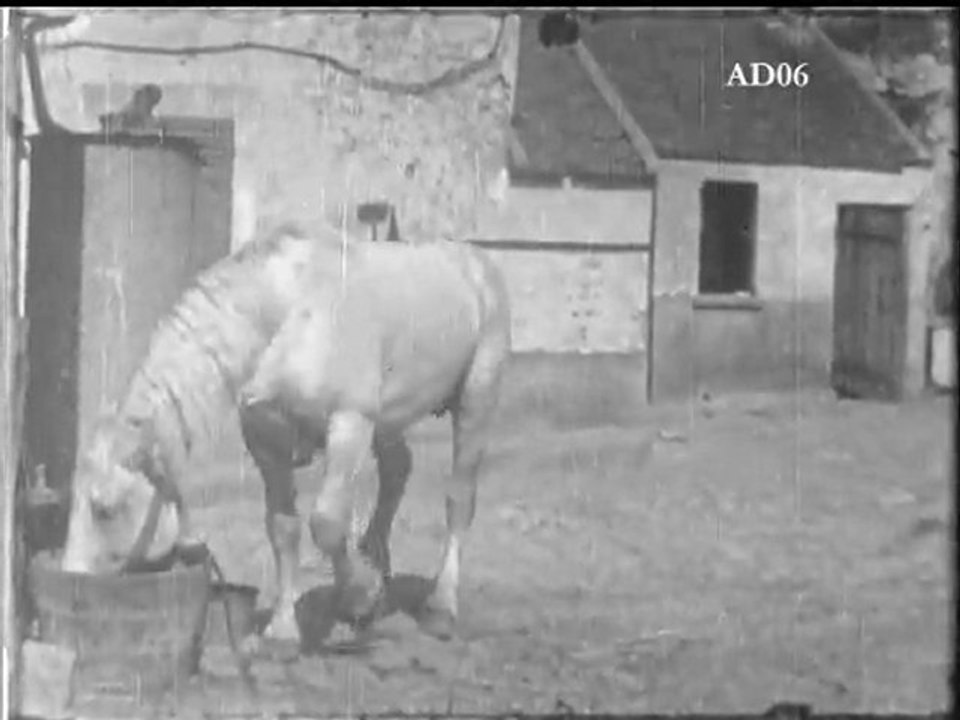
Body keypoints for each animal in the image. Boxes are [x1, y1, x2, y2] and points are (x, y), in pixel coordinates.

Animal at [60, 223, 512, 648]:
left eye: (104, 509)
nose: (71, 580)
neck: (289, 310)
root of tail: (476, 260)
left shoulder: (349, 421)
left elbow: (327, 523)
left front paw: (357, 600)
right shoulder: (266, 436)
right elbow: (283, 528)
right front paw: (283, 631)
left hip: (475, 398)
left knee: (458, 500)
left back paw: (440, 609)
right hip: (387, 420)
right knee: (397, 471)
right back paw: (377, 572)